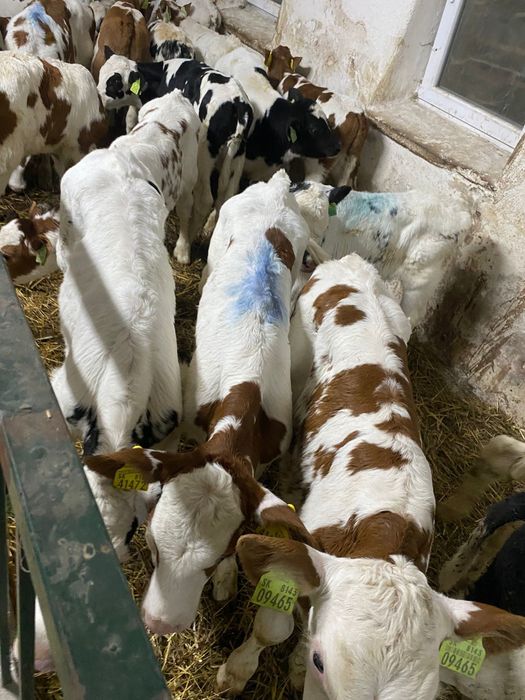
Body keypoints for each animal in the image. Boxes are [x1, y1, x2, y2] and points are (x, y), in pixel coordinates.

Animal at [84, 169, 311, 635]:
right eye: (152, 544)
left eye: (216, 559)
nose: (159, 622)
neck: (246, 399)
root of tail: (277, 185)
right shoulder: (188, 423)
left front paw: (226, 581)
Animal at [97, 54, 253, 262]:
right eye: (101, 74)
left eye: (114, 83)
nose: (98, 98)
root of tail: (238, 104)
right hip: (238, 155)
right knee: (227, 196)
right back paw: (208, 229)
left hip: (204, 153)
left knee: (204, 199)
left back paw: (187, 241)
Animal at [220, 254, 525, 699]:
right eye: (323, 662)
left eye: (427, 693)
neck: (385, 530)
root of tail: (353, 264)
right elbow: (272, 626)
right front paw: (237, 671)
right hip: (295, 366)